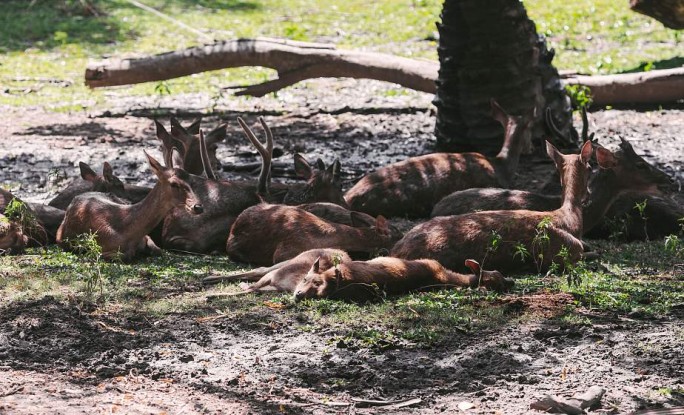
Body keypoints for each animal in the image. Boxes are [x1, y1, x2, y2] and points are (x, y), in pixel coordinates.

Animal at [56, 153, 204, 264]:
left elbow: (158, 250)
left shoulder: (146, 237)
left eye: (191, 181)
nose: (198, 207)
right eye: (174, 184)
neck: (128, 233)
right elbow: (124, 256)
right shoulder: (102, 247)